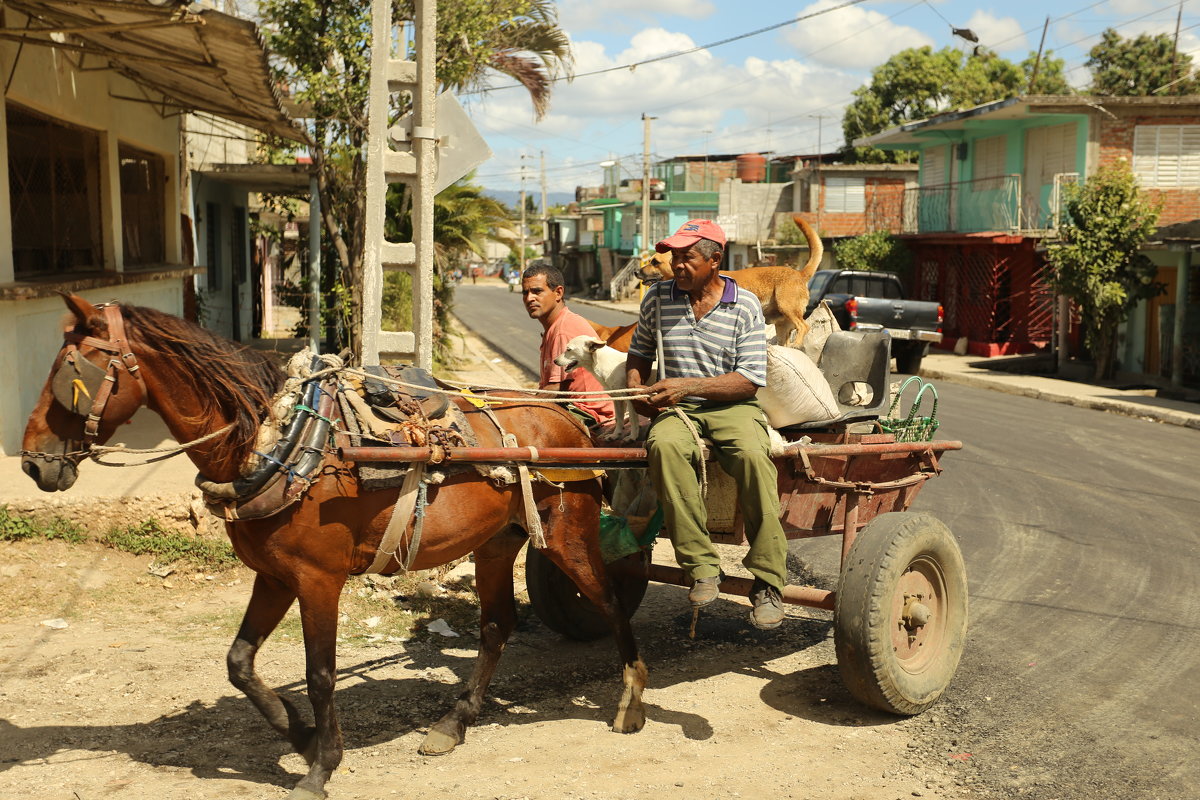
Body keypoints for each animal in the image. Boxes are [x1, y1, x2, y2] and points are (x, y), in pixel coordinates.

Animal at [18, 293, 648, 800]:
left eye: (71, 371)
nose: (31, 462)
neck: (279, 440)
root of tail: (568, 418)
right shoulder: (274, 575)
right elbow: (239, 664)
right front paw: (298, 734)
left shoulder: (318, 579)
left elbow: (320, 673)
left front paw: (321, 765)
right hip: (496, 544)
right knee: (496, 626)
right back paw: (454, 723)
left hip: (567, 536)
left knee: (611, 603)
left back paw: (632, 701)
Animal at [638, 215, 825, 347]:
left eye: (655, 262)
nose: (635, 271)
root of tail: (800, 273)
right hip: (782, 324)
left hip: (787, 307)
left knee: (804, 326)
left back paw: (797, 344)